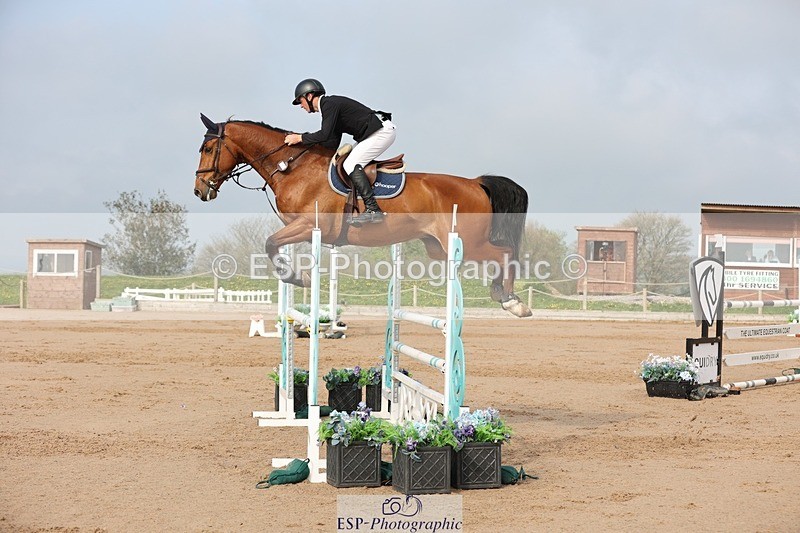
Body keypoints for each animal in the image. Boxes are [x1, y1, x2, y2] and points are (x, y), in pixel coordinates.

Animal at [193, 114, 531, 317]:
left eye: (208, 148)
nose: (200, 190)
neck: (292, 167)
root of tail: (476, 182)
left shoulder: (308, 225)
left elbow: (269, 244)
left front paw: (298, 277)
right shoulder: (303, 229)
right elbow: (274, 246)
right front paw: (296, 275)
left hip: (467, 243)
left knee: (505, 252)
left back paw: (512, 301)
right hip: (438, 248)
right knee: (502, 253)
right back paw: (503, 294)